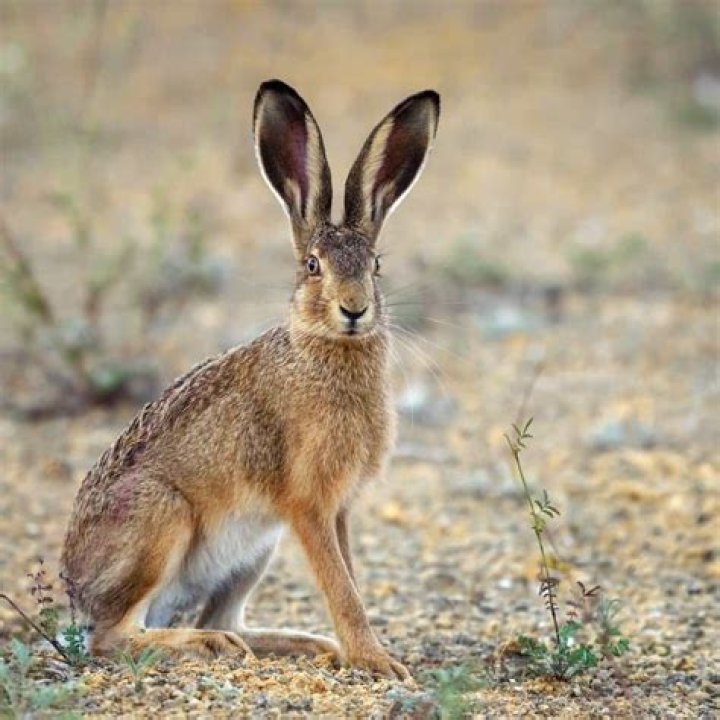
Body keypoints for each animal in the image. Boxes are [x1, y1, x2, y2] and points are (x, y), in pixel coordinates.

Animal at [61, 79, 440, 680]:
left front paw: (363, 654)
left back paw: (300, 644)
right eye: (312, 266)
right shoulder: (309, 505)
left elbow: (350, 579)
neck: (324, 351)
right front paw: (377, 662)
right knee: (113, 636)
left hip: (256, 547)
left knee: (222, 617)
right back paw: (208, 646)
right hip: (160, 521)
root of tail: (75, 591)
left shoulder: (338, 509)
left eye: (376, 266)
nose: (354, 310)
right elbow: (342, 589)